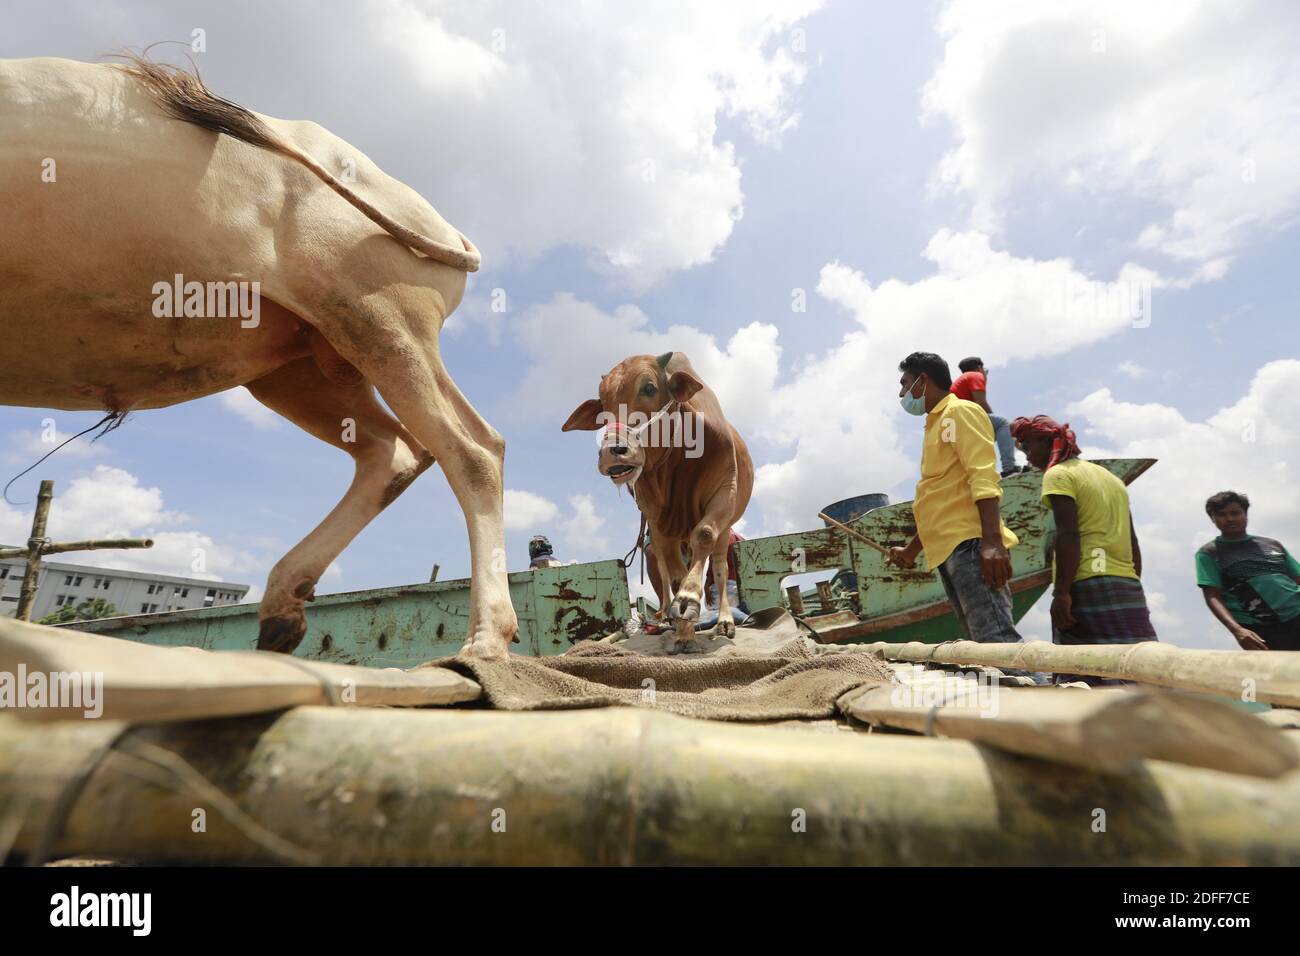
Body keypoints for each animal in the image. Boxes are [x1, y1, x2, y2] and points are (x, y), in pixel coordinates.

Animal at [0, 57, 517, 658]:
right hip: (303, 365)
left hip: (379, 316)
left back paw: (485, 640)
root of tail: (442, 225)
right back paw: (281, 613)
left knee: (473, 450)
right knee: (391, 451)